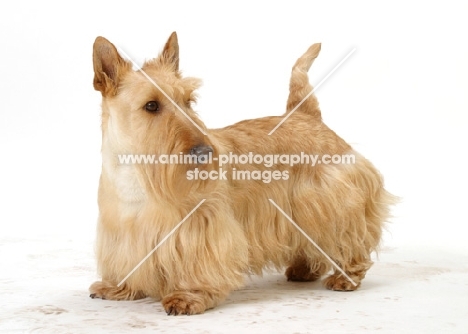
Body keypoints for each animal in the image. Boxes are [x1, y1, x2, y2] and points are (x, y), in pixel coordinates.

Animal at [88, 32, 394, 316]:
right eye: (151, 105)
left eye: (189, 101)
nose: (203, 152)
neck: (135, 176)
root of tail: (306, 115)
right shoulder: (122, 232)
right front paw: (118, 287)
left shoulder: (202, 227)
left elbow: (199, 266)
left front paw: (188, 296)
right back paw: (303, 269)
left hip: (332, 203)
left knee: (350, 238)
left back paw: (346, 277)